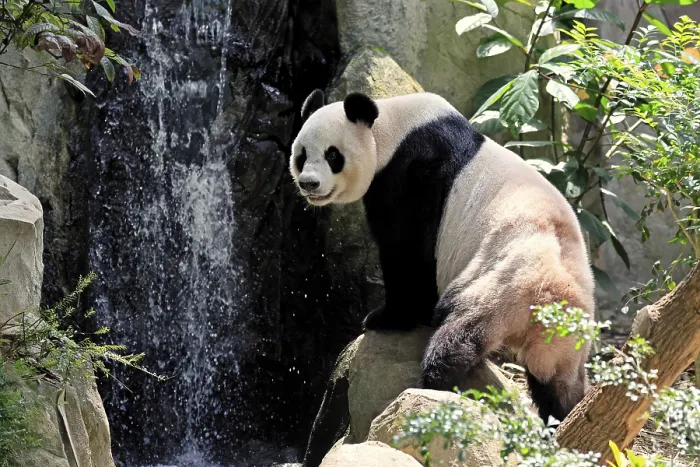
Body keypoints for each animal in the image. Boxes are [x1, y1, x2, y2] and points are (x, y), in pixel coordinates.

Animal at [289, 89, 595, 423]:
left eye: (333, 155)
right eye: (301, 155)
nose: (309, 183)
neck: (391, 129)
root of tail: (551, 296)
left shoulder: (412, 177)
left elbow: (406, 252)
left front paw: (386, 318)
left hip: (503, 282)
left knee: (460, 331)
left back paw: (434, 383)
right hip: (566, 337)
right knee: (558, 383)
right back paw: (565, 416)